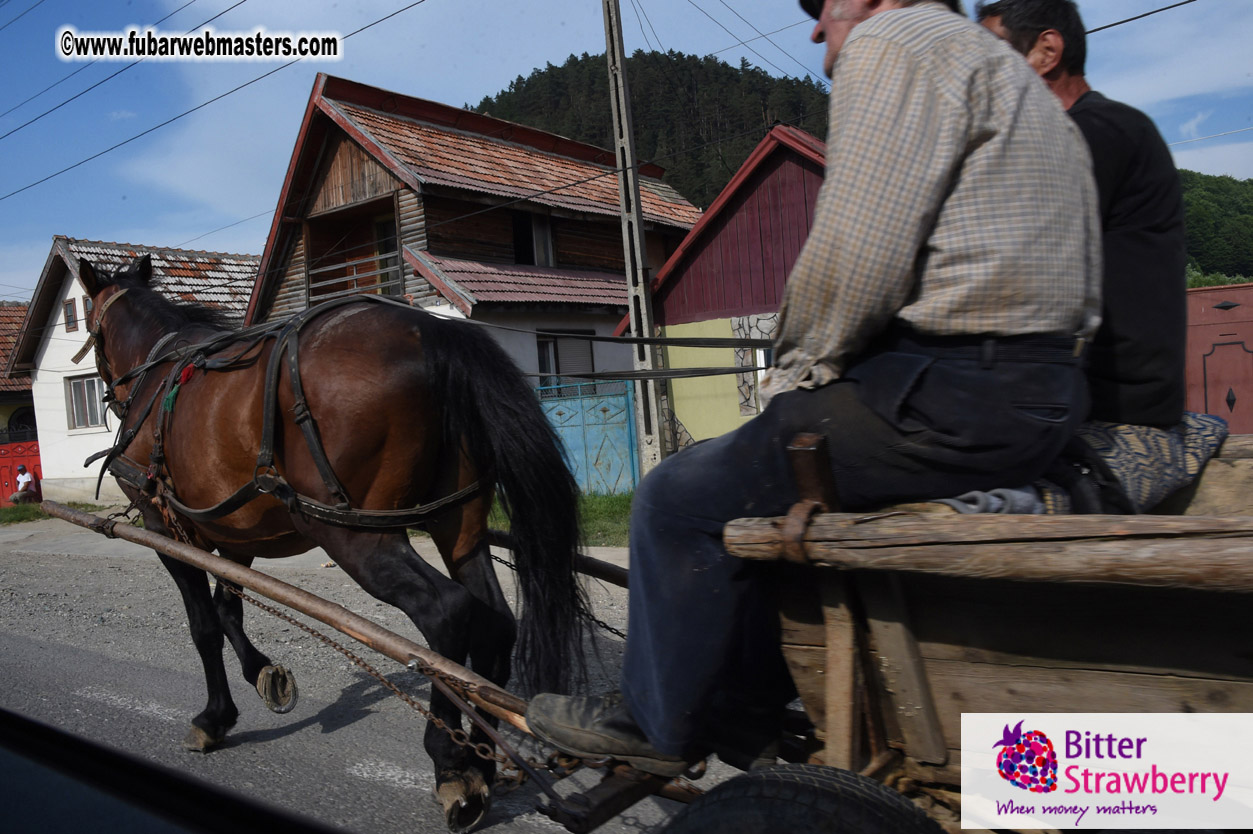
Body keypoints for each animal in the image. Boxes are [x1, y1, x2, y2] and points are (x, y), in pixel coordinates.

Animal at [75, 255, 588, 831]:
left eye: (92, 329)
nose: (111, 395)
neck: (159, 368)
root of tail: (436, 332)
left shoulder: (163, 527)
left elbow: (204, 626)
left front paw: (214, 718)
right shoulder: (234, 532)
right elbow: (229, 610)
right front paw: (264, 675)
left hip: (354, 537)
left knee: (446, 612)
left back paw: (450, 764)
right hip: (457, 524)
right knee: (495, 622)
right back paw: (480, 762)